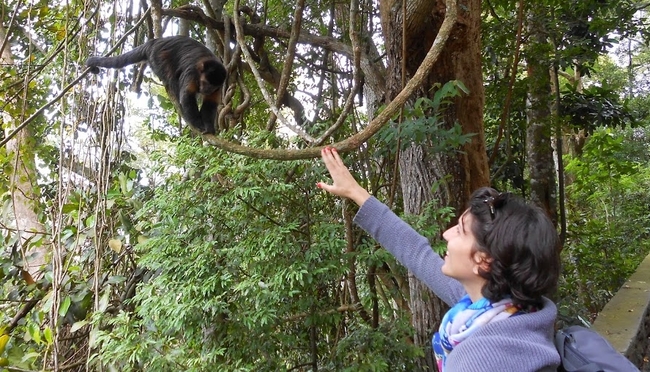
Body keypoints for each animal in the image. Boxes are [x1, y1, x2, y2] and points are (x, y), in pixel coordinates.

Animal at [86, 35, 227, 134]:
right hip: (158, 55)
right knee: (170, 75)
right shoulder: (192, 73)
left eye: (212, 87)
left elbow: (210, 104)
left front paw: (209, 127)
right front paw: (199, 124)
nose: (207, 90)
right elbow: (187, 96)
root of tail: (154, 41)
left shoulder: (220, 84)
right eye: (205, 83)